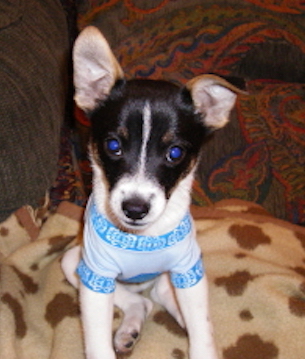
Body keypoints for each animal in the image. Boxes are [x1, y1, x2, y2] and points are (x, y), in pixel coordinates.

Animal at [61, 26, 242, 359]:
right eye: (113, 145)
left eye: (175, 153)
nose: (135, 208)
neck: (140, 238)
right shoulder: (95, 279)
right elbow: (97, 342)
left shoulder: (188, 270)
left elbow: (202, 330)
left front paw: (203, 344)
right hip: (73, 262)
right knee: (141, 301)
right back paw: (129, 329)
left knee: (163, 297)